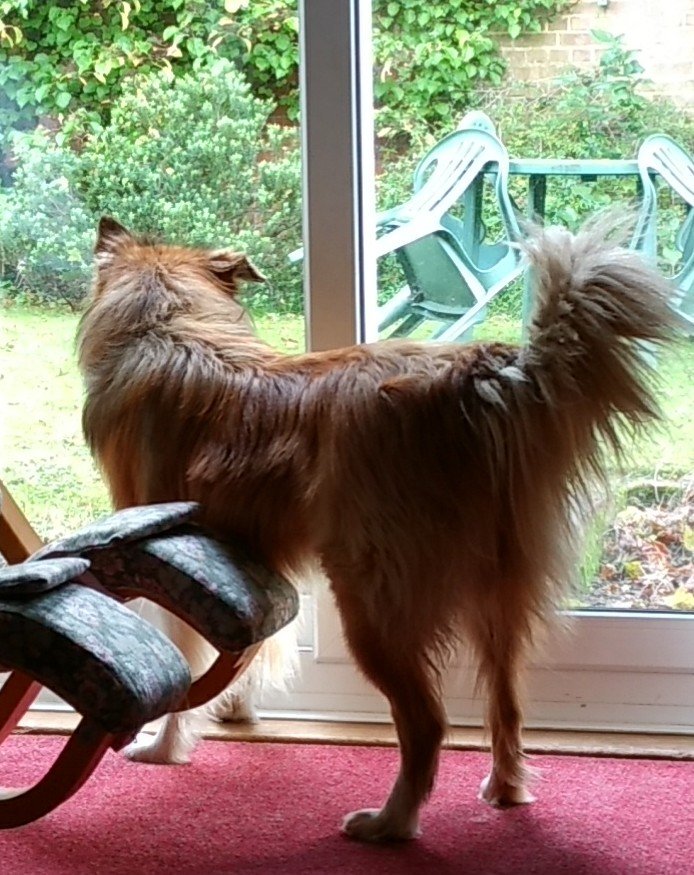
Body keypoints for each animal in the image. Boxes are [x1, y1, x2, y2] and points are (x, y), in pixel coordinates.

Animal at [79, 216, 676, 844]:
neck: (168, 320)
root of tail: (478, 381)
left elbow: (190, 664)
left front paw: (163, 747)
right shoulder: (249, 561)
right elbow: (251, 647)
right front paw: (237, 708)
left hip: (375, 602)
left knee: (427, 723)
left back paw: (390, 823)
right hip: (499, 596)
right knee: (506, 703)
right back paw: (506, 789)